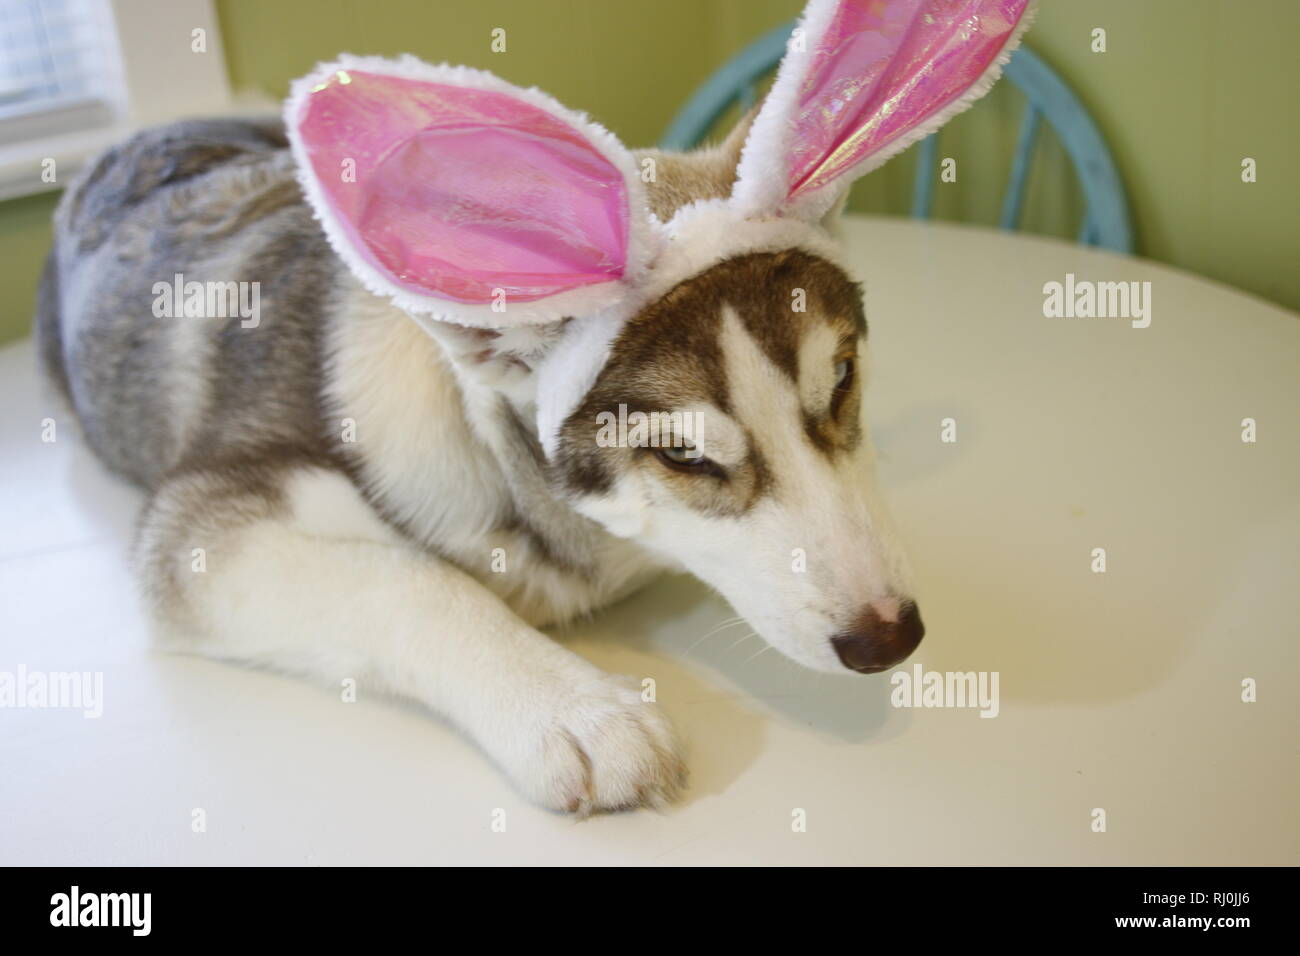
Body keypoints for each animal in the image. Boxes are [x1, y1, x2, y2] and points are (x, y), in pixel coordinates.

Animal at [30, 0, 1029, 816]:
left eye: (843, 380)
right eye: (685, 458)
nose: (890, 638)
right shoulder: (202, 522)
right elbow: (408, 579)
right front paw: (576, 710)